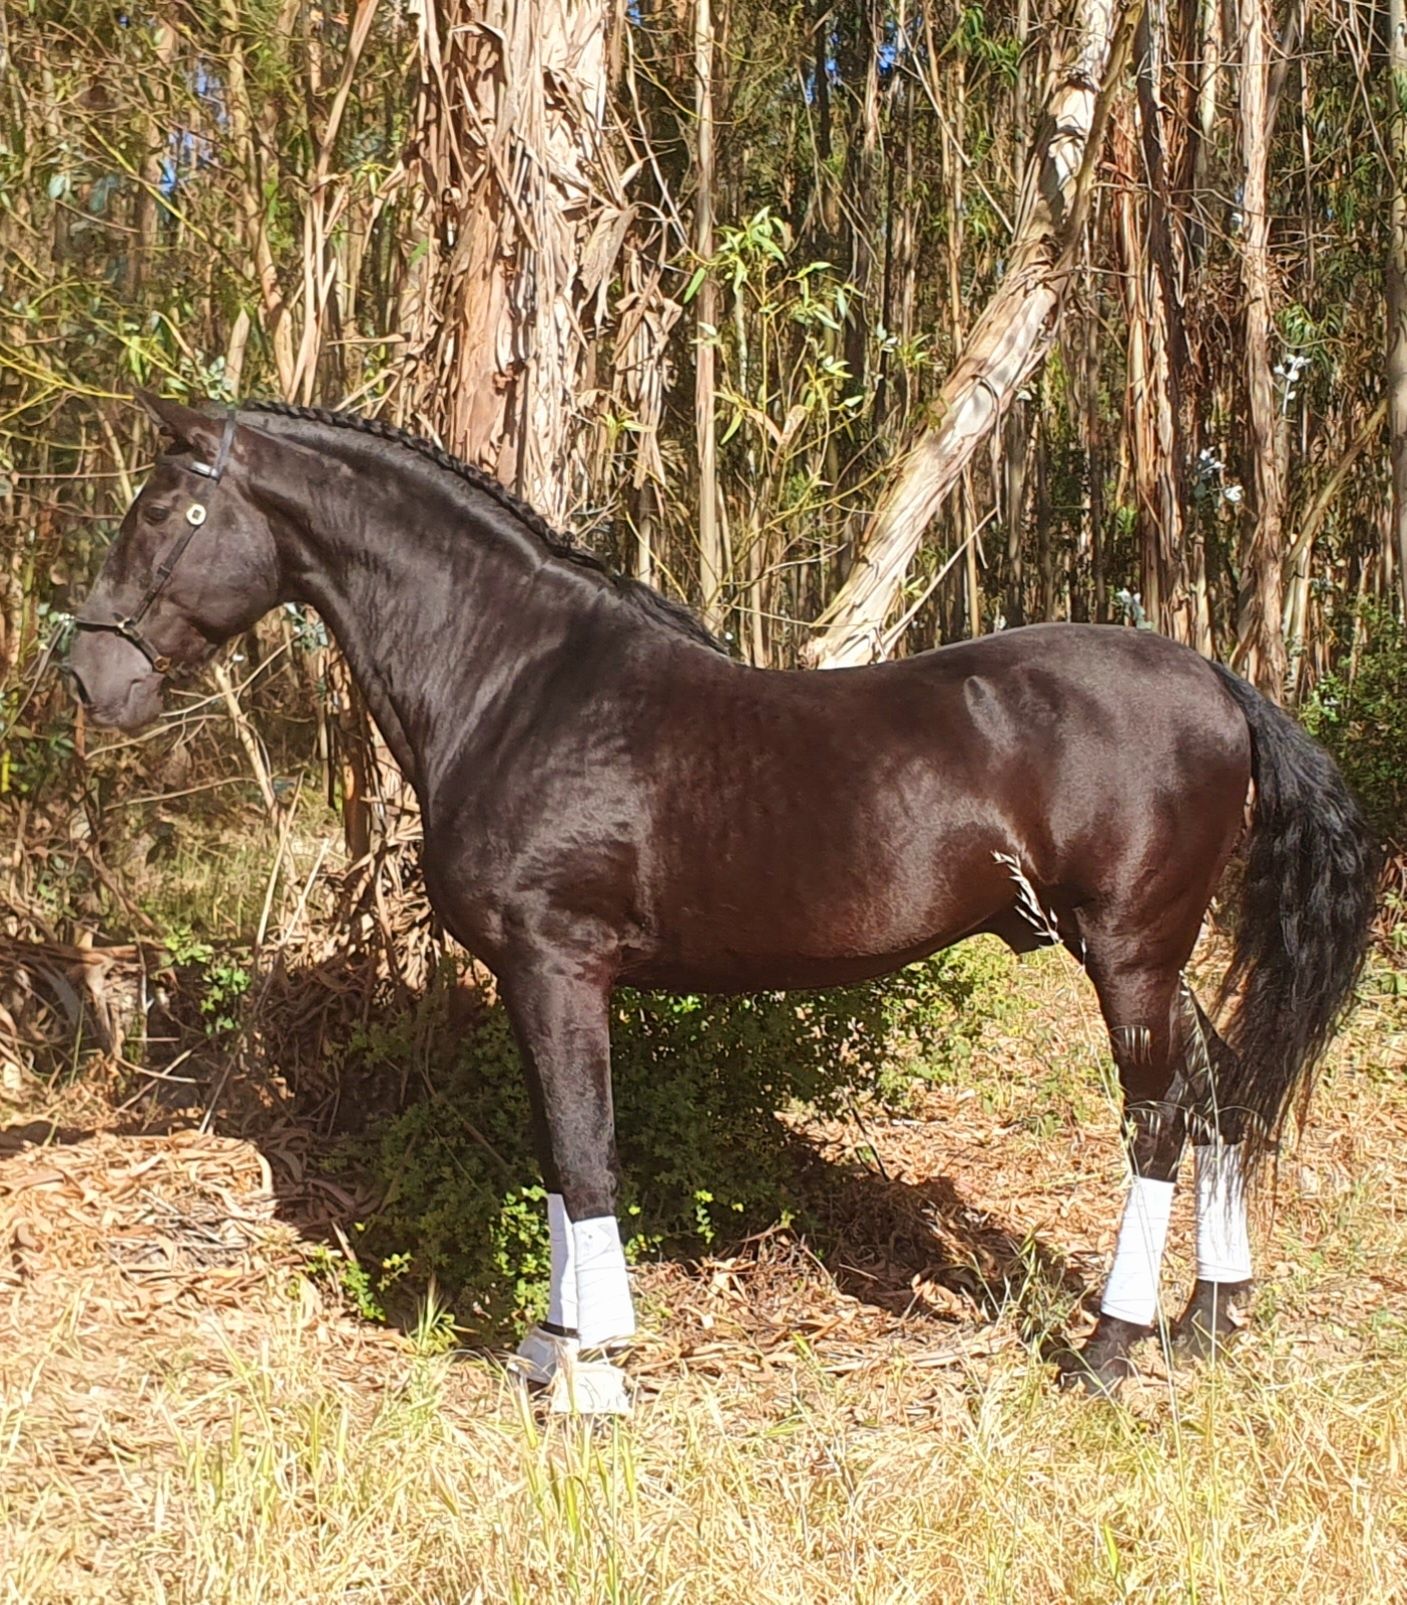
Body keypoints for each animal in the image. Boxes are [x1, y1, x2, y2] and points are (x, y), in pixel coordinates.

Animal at [65, 398, 1373, 1405]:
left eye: (161, 511)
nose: (86, 673)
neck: (517, 684)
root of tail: (1217, 681)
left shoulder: (559, 965)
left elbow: (586, 1156)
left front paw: (593, 1371)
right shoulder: (532, 978)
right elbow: (558, 1156)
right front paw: (551, 1348)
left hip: (1128, 950)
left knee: (1157, 1118)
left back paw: (1109, 1350)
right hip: (1153, 958)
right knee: (1217, 1093)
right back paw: (1210, 1317)